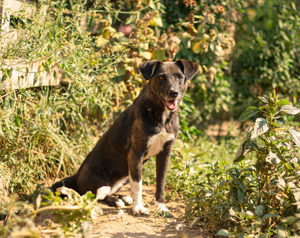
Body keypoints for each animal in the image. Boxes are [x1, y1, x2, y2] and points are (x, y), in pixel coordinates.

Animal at [51, 59, 199, 216]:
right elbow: (138, 185)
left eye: (179, 76)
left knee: (106, 192)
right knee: (93, 195)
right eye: (161, 77)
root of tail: (76, 175)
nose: (173, 93)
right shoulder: (136, 153)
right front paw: (138, 207)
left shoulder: (165, 153)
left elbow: (161, 183)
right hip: (98, 173)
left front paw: (161, 207)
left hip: (125, 176)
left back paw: (123, 198)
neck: (162, 117)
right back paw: (117, 200)